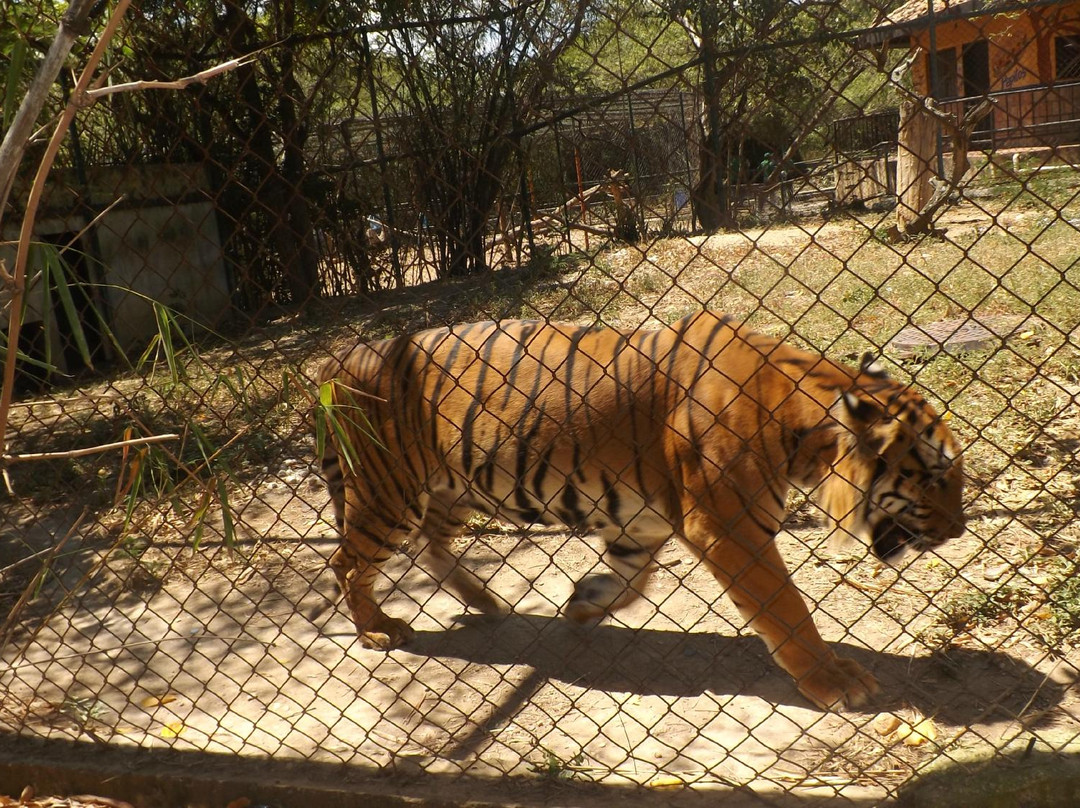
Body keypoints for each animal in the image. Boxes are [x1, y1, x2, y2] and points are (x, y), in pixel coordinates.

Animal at [313, 308, 963, 708]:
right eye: (934, 476)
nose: (957, 531)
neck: (802, 428)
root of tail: (340, 357)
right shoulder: (729, 526)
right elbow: (787, 610)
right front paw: (836, 681)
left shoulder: (641, 520)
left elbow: (633, 580)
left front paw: (583, 604)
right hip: (387, 491)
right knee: (347, 562)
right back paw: (378, 629)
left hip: (451, 487)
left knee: (430, 543)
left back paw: (485, 601)